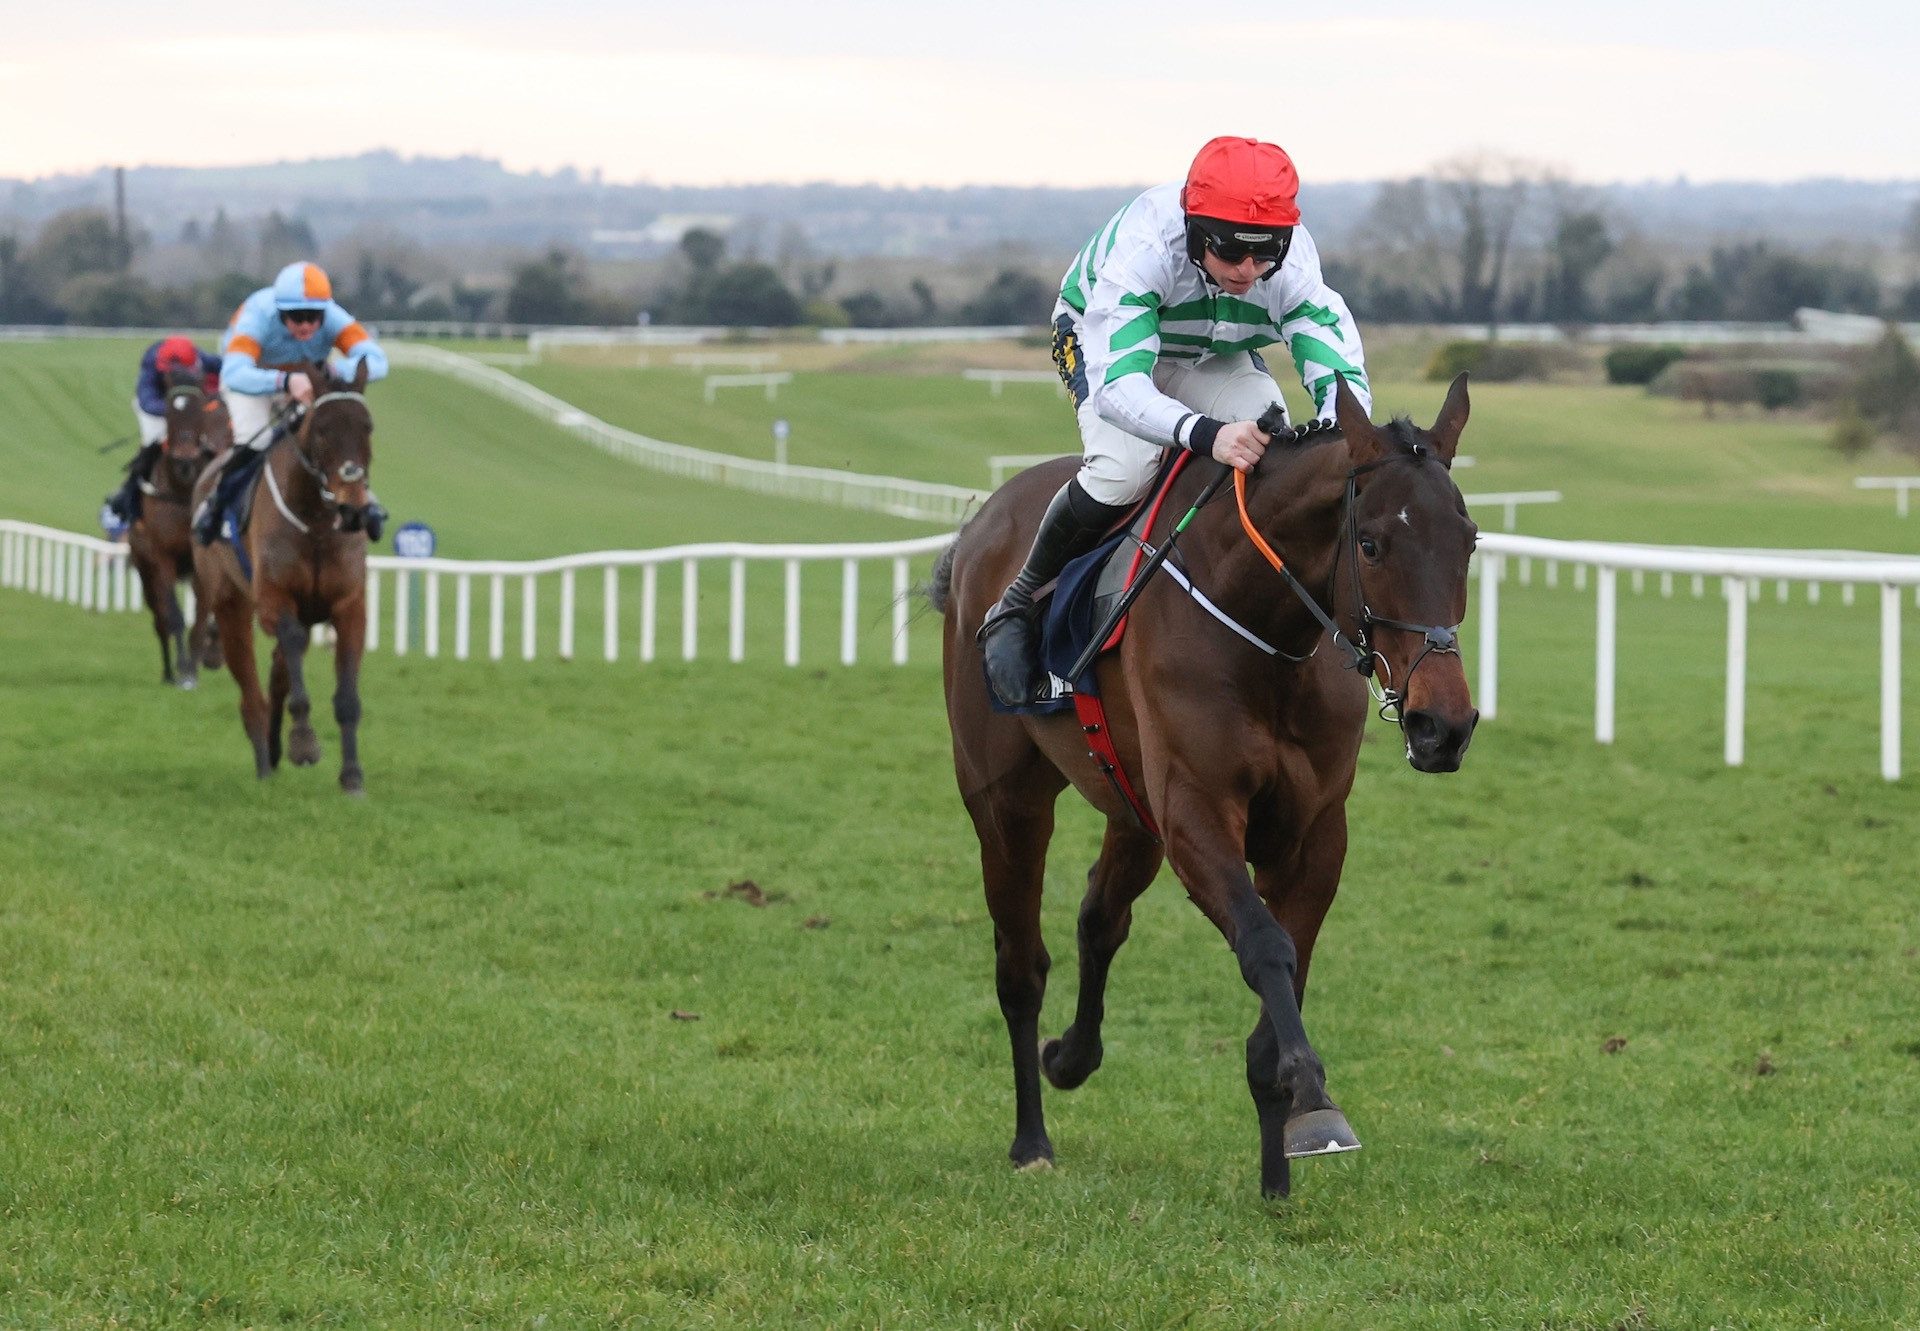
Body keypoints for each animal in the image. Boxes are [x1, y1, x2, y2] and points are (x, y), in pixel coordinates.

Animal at [124, 374, 231, 683]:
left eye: (198, 410)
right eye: (171, 412)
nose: (184, 461)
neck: (184, 492)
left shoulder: (204, 563)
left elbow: (204, 614)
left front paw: (197, 665)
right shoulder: (162, 557)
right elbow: (175, 617)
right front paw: (183, 668)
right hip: (144, 567)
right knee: (160, 619)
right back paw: (169, 672)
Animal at [191, 361, 385, 787]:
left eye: (368, 426)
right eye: (322, 429)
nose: (353, 508)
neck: (316, 524)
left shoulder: (348, 606)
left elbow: (347, 698)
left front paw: (352, 776)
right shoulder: (274, 602)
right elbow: (291, 660)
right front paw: (304, 742)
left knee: (278, 670)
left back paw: (274, 748)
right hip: (230, 602)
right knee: (250, 686)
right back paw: (265, 760)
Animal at [936, 370, 1474, 1190]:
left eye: (1469, 541)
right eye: (1371, 543)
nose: (1442, 725)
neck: (1267, 631)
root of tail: (983, 528)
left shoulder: (1314, 832)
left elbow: (1281, 978)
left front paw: (1278, 1175)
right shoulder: (1196, 810)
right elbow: (1265, 946)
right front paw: (1315, 1100)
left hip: (1130, 805)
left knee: (1100, 915)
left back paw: (1071, 1056)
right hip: (1006, 798)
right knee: (1020, 966)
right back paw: (1031, 1138)